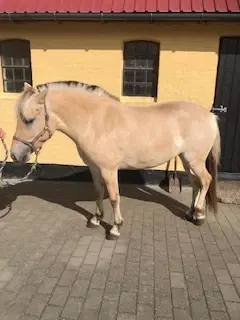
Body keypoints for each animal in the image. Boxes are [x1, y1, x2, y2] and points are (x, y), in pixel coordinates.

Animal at [11, 82, 221, 240]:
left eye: (29, 120)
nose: (15, 155)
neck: (94, 122)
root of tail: (210, 115)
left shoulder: (109, 170)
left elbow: (114, 197)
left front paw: (115, 228)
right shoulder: (95, 169)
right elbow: (98, 192)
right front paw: (96, 220)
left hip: (195, 160)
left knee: (206, 180)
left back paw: (199, 215)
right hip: (187, 160)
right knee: (196, 183)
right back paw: (191, 213)